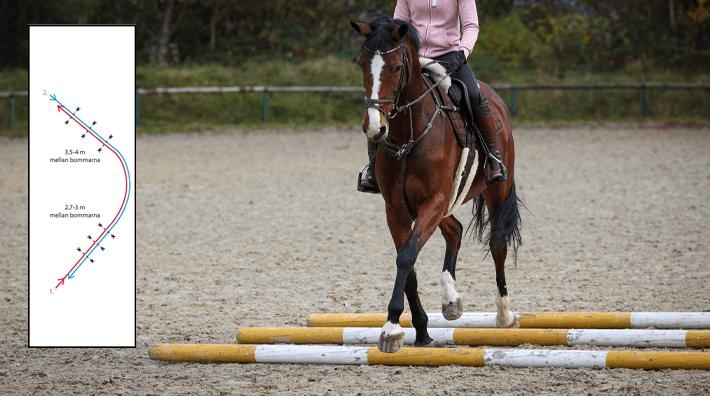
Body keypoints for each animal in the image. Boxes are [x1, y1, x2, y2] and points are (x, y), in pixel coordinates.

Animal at [352, 17, 524, 352]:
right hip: (440, 204)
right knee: (454, 230)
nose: (375, 127)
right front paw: (419, 329)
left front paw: (391, 328)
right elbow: (408, 264)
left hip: (494, 190)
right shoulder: (397, 209)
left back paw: (504, 315)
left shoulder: (434, 200)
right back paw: (451, 299)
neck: (409, 134)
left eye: (396, 67)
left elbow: (407, 255)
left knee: (497, 243)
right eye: (362, 63)